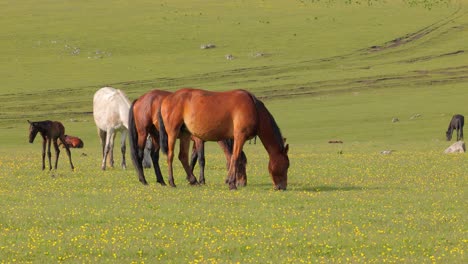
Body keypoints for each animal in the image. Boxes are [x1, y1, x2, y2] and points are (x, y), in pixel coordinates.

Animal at [158, 88, 288, 190]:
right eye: (286, 166)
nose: (282, 187)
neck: (254, 108)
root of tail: (167, 99)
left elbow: (230, 158)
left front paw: (230, 181)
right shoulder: (240, 136)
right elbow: (235, 158)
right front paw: (232, 183)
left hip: (184, 134)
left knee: (183, 156)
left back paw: (193, 180)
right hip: (173, 132)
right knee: (170, 155)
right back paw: (171, 181)